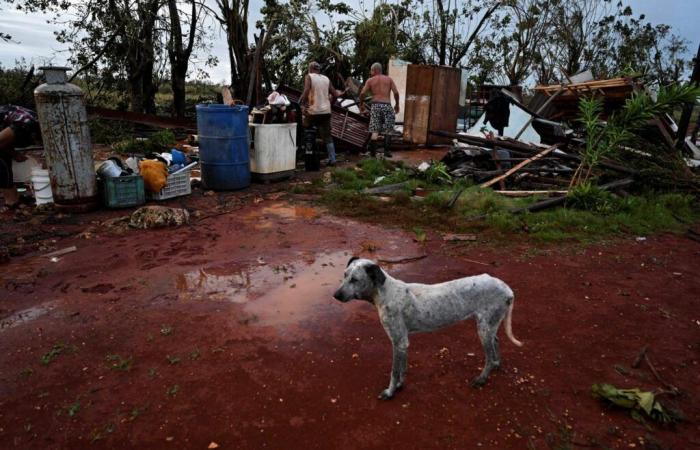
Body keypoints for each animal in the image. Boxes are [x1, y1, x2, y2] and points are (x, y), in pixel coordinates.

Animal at [332, 258, 520, 400]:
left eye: (355, 279)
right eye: (344, 275)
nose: (335, 295)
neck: (383, 292)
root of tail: (507, 289)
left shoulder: (398, 341)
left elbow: (394, 371)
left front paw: (390, 392)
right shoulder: (403, 343)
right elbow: (402, 369)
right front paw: (399, 385)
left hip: (483, 329)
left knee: (488, 356)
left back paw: (482, 378)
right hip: (489, 326)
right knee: (496, 343)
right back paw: (496, 364)